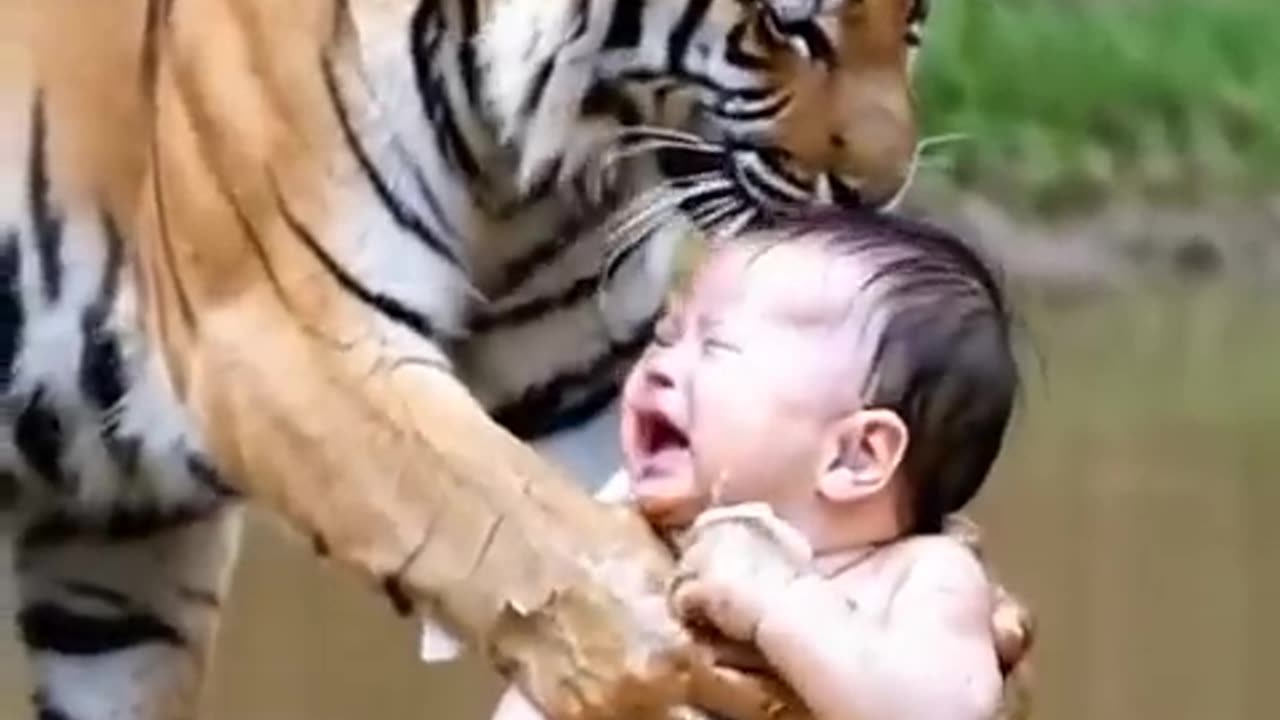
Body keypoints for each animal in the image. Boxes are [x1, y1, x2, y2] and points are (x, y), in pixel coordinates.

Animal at [0, 0, 1024, 719]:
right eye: (786, 25)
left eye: (913, 20)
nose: (878, 194)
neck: (518, 155)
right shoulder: (284, 335)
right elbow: (507, 522)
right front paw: (670, 658)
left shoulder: (574, 376)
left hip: (121, 569)